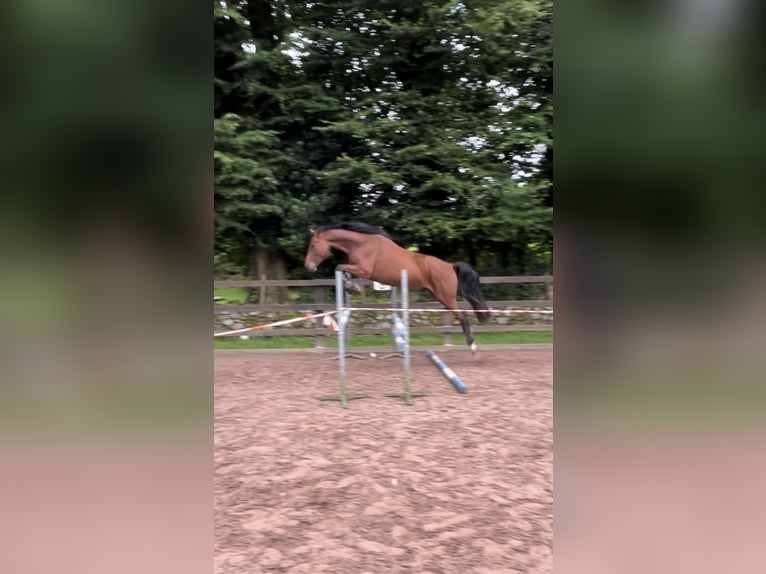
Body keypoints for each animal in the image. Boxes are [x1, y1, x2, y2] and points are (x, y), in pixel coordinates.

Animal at [304, 223, 488, 354]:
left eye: (313, 246)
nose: (308, 266)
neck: (361, 243)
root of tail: (450, 266)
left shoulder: (364, 270)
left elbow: (339, 267)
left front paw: (353, 288)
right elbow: (343, 270)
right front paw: (351, 287)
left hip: (447, 298)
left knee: (463, 316)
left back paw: (472, 347)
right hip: (441, 296)